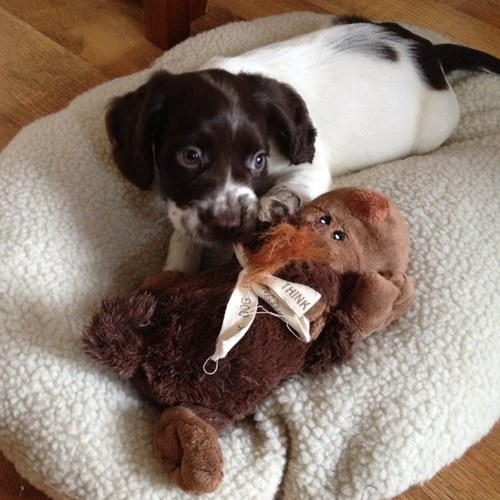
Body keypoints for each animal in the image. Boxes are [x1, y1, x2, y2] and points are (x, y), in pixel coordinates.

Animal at [105, 16, 500, 274]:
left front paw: (279, 203)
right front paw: (176, 270)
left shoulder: (309, 163)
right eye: (190, 157)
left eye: (259, 160)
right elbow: (183, 236)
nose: (230, 227)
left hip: (436, 128)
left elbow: (296, 184)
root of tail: (429, 50)